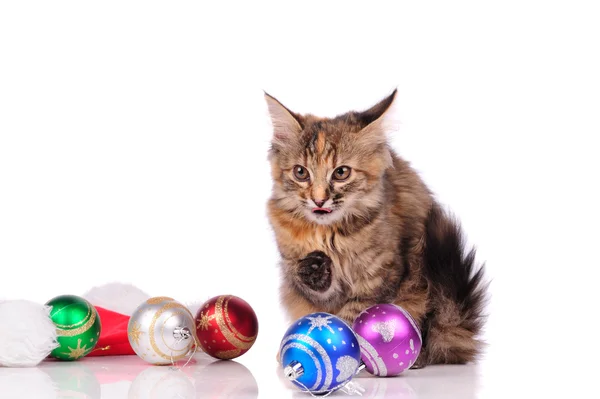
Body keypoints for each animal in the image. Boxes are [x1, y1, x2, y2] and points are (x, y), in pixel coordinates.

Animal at [266, 89, 488, 368]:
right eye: (300, 172)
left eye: (341, 172)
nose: (319, 200)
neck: (329, 234)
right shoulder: (294, 269)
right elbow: (315, 295)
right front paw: (316, 270)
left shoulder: (381, 275)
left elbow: (351, 317)